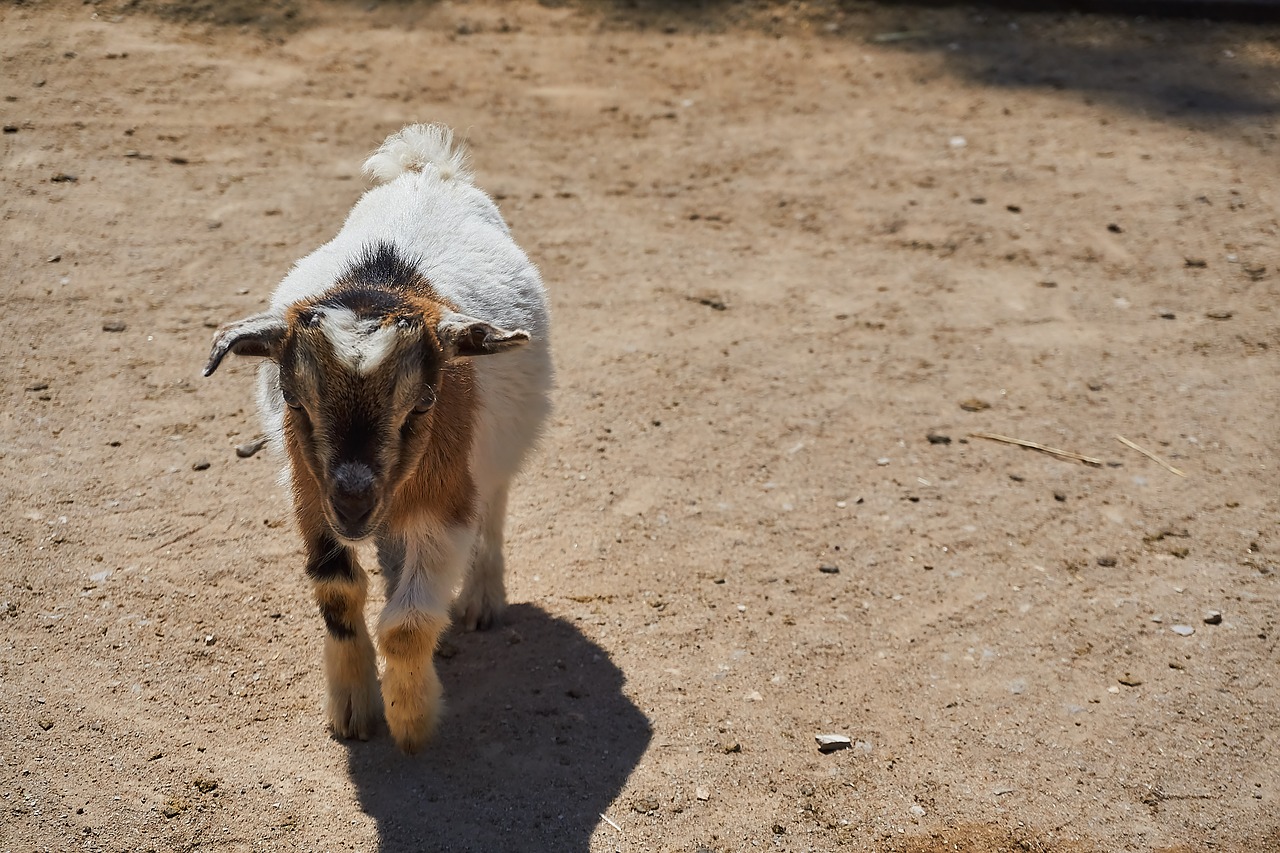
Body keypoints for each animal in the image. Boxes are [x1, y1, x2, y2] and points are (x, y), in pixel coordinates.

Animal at [203, 122, 550, 747]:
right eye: (293, 399)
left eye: (425, 403)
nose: (355, 503)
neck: (382, 281)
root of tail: (427, 170)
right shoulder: (309, 494)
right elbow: (337, 593)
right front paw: (352, 710)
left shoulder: (446, 503)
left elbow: (407, 625)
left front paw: (411, 720)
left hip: (500, 448)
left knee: (495, 504)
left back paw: (482, 600)